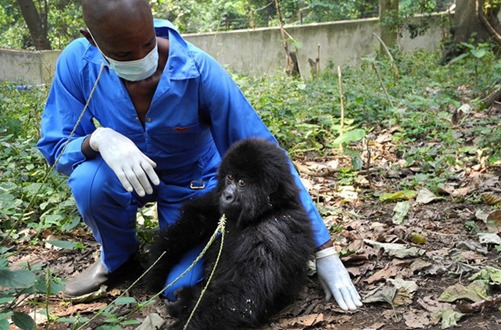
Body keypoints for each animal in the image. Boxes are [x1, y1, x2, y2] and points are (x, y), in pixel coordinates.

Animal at [146, 138, 314, 328]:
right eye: (230, 177)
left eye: (242, 183)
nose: (227, 195)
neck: (266, 210)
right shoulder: (215, 200)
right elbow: (196, 218)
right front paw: (159, 264)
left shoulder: (272, 233)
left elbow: (240, 299)